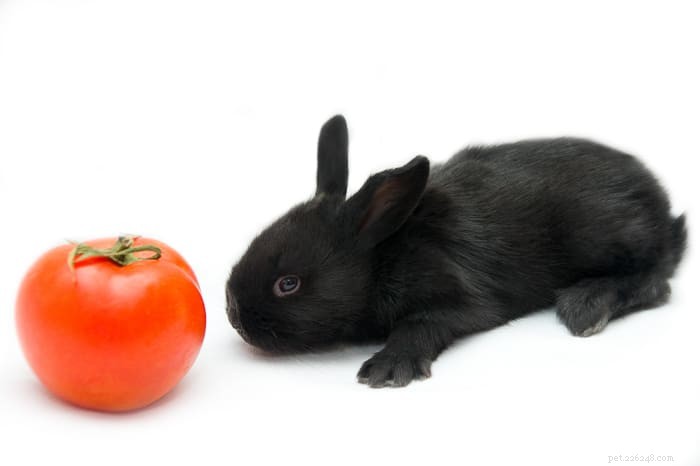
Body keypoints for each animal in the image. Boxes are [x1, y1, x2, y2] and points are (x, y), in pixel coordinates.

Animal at [226, 115, 687, 388]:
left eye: (288, 284)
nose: (233, 315)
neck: (384, 255)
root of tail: (662, 204)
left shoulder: (460, 300)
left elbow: (420, 325)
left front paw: (388, 367)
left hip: (604, 235)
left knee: (656, 279)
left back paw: (587, 305)